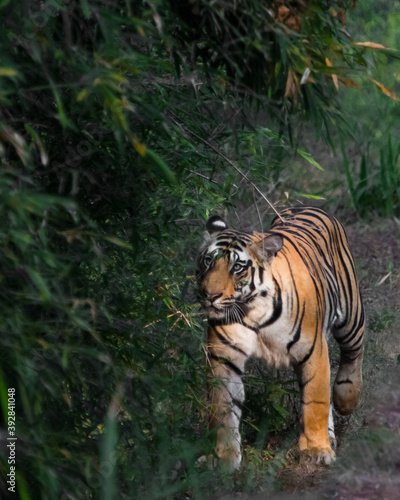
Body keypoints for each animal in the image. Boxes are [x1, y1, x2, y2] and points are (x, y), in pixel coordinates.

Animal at [197, 206, 366, 468]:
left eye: (237, 267)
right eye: (208, 261)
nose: (209, 295)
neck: (252, 311)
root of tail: (305, 206)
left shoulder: (314, 351)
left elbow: (315, 401)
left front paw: (316, 450)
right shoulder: (223, 359)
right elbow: (223, 407)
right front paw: (224, 457)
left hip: (350, 317)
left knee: (353, 352)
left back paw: (345, 398)